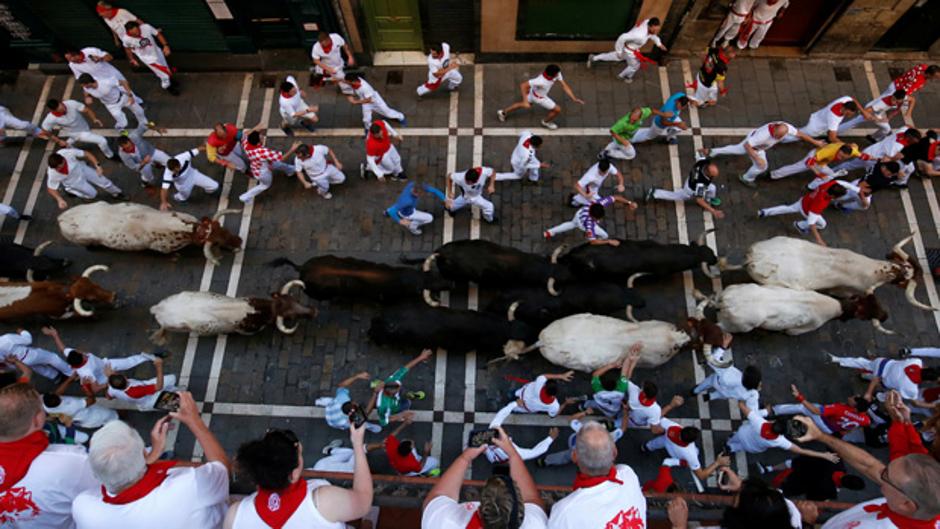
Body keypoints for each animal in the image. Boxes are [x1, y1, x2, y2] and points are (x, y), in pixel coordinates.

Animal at [700, 284, 892, 334]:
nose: (886, 316)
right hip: (740, 326)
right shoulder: (798, 330)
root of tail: (727, 302)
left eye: (876, 301)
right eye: (868, 314)